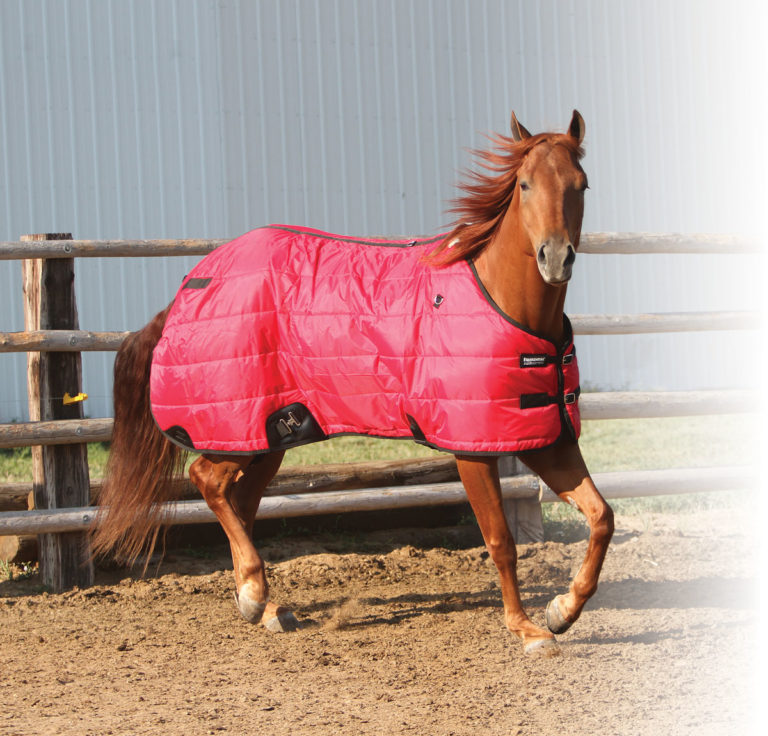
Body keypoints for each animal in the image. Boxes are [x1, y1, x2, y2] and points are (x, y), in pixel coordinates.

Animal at [91, 110, 613, 657]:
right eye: (524, 184)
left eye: (581, 184)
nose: (555, 258)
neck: (502, 300)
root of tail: (189, 287)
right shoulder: (472, 449)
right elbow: (500, 541)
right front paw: (527, 628)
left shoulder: (546, 438)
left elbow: (602, 517)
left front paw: (562, 610)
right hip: (236, 430)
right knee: (208, 480)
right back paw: (254, 594)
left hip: (274, 431)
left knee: (240, 500)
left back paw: (262, 604)